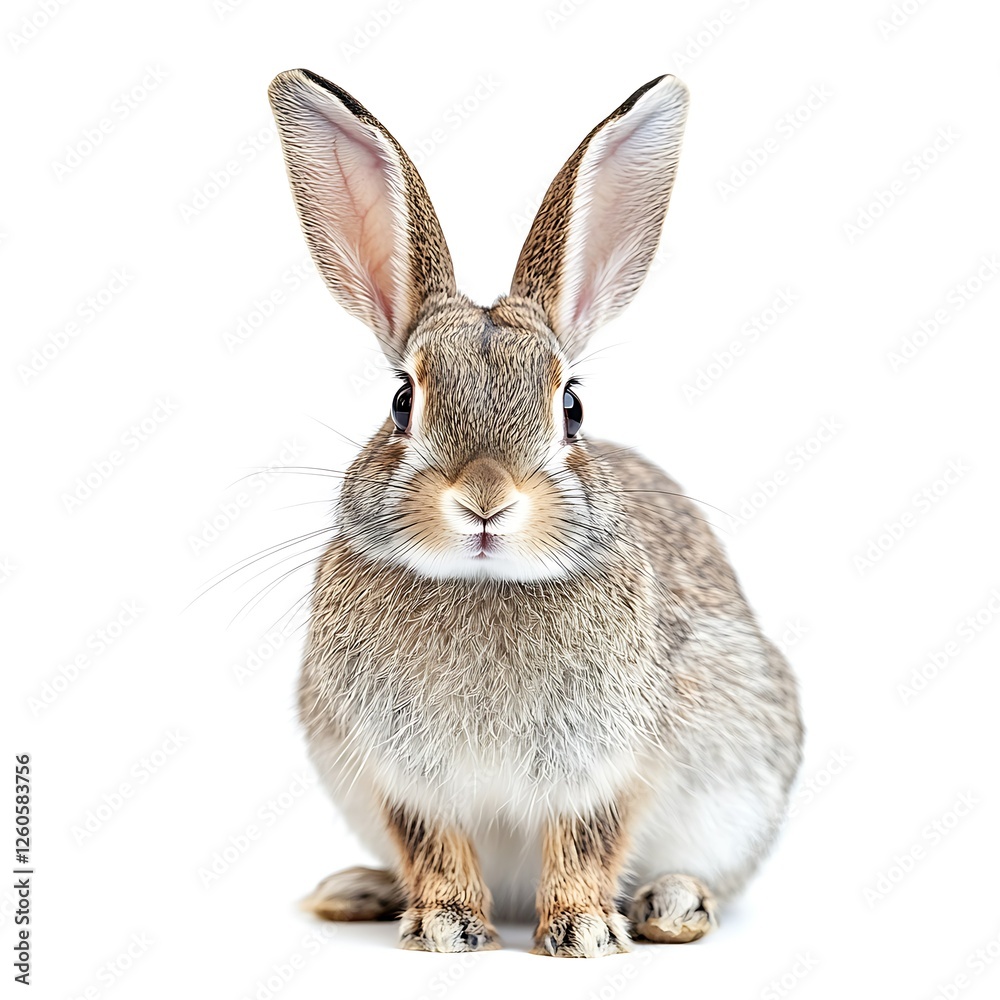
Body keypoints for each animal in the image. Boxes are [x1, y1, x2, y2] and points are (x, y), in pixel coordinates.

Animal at [267, 68, 803, 958]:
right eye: (402, 402)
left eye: (573, 407)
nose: (485, 499)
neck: (484, 585)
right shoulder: (403, 775)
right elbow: (435, 844)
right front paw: (448, 926)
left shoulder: (606, 765)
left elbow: (586, 840)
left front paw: (583, 930)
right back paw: (357, 890)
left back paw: (670, 905)